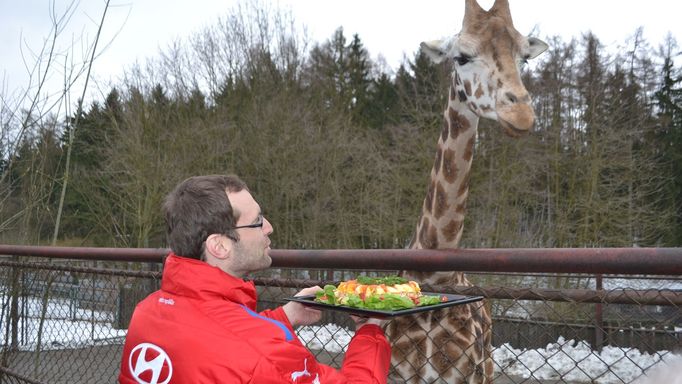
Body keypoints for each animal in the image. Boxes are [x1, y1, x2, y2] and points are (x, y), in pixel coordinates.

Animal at [382, 1, 548, 382]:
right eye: (460, 57)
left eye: (524, 57)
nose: (520, 112)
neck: (434, 277)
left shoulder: (466, 375)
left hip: (487, 365)